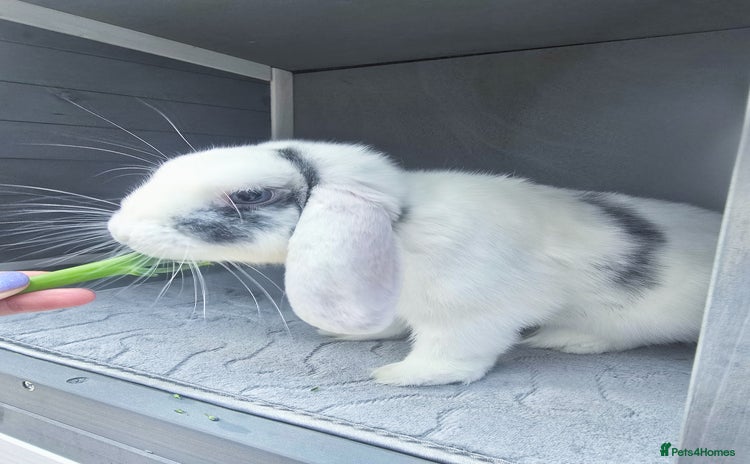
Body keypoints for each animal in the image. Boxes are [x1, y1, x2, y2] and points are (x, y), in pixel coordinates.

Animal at [108, 140, 722, 386]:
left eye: (251, 196)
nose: (119, 228)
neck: (401, 228)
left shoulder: (468, 315)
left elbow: (455, 356)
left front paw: (404, 376)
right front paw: (355, 337)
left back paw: (566, 338)